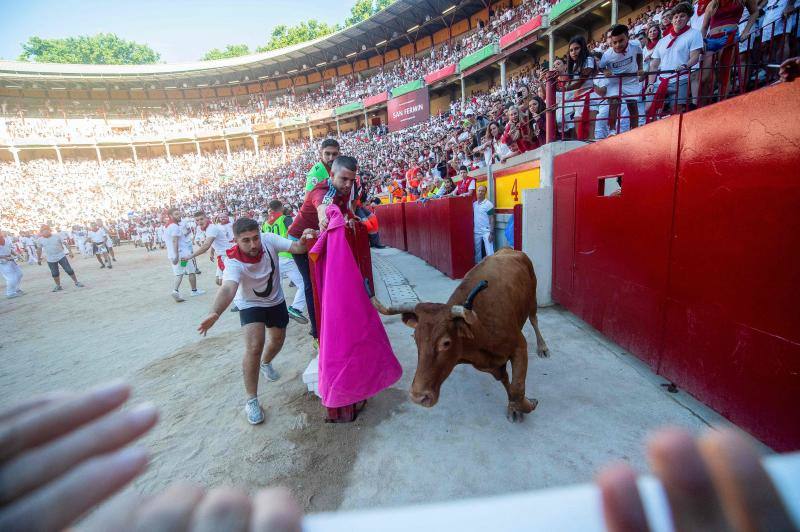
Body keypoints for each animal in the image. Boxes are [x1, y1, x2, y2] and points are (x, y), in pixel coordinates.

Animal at [370, 248, 552, 420]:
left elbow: (517, 389)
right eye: (415, 339)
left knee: (534, 320)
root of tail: (510, 249)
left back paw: (543, 347)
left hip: (532, 299)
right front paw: (514, 408)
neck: (479, 334)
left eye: (446, 343)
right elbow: (507, 382)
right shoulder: (489, 365)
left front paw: (528, 405)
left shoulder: (519, 346)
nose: (418, 397)